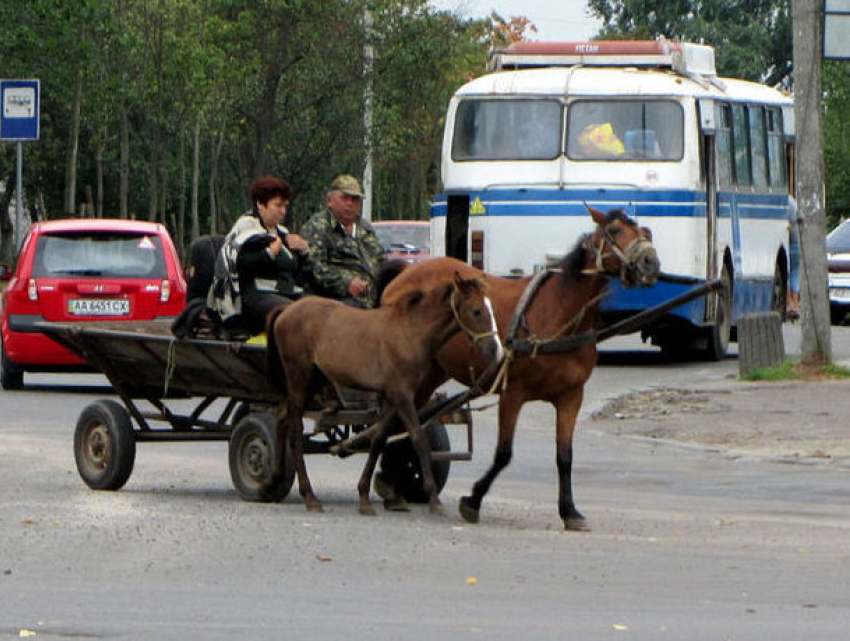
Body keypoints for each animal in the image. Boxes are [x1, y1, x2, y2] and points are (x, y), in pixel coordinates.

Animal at [268, 270, 500, 516]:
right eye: (476, 310)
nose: (494, 349)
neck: (410, 333)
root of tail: (287, 310)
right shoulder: (403, 395)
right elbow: (419, 439)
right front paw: (434, 499)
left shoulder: (390, 397)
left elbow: (378, 440)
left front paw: (364, 497)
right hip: (299, 377)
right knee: (295, 430)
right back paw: (309, 496)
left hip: (314, 378)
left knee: (281, 416)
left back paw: (274, 478)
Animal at [380, 206, 664, 528]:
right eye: (614, 231)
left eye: (645, 231)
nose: (651, 261)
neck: (558, 314)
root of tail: (405, 273)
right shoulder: (513, 394)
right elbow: (503, 454)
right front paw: (473, 500)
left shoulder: (571, 397)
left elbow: (565, 456)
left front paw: (569, 510)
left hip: (431, 373)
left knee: (404, 422)